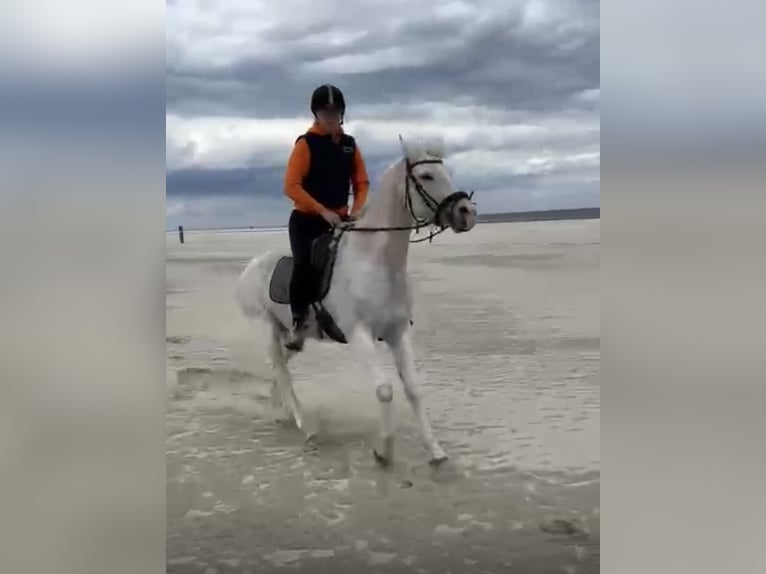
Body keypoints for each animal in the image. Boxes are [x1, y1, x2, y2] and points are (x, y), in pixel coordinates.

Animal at [237, 136, 476, 468]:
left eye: (447, 173)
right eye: (427, 176)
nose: (467, 211)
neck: (375, 263)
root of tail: (250, 267)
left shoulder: (398, 332)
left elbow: (414, 389)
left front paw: (435, 450)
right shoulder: (359, 334)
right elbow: (385, 390)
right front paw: (383, 451)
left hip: (293, 336)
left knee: (280, 366)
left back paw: (282, 409)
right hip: (267, 330)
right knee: (282, 372)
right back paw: (305, 426)